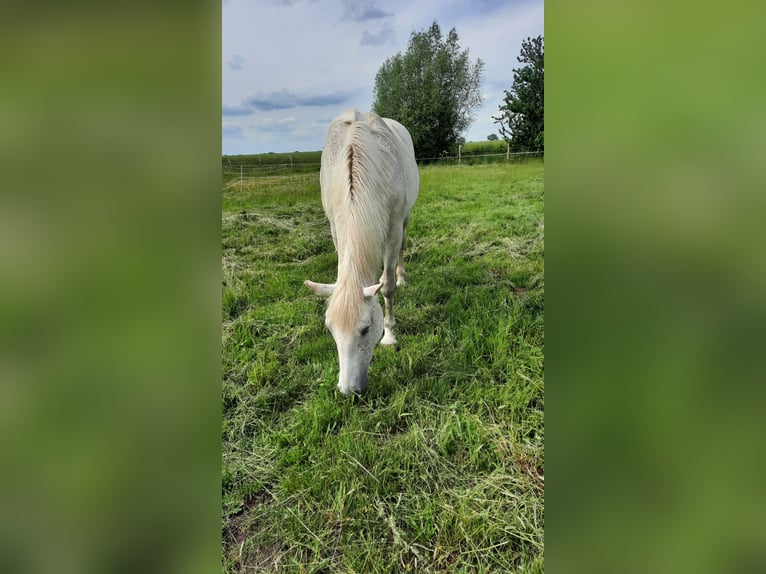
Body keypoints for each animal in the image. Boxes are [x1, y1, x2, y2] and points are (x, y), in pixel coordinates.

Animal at [305, 109, 419, 395]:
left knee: (402, 249)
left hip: (405, 219)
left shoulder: (393, 228)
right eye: (330, 329)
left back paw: (402, 276)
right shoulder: (335, 228)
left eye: (366, 329)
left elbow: (387, 286)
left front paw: (389, 335)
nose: (349, 391)